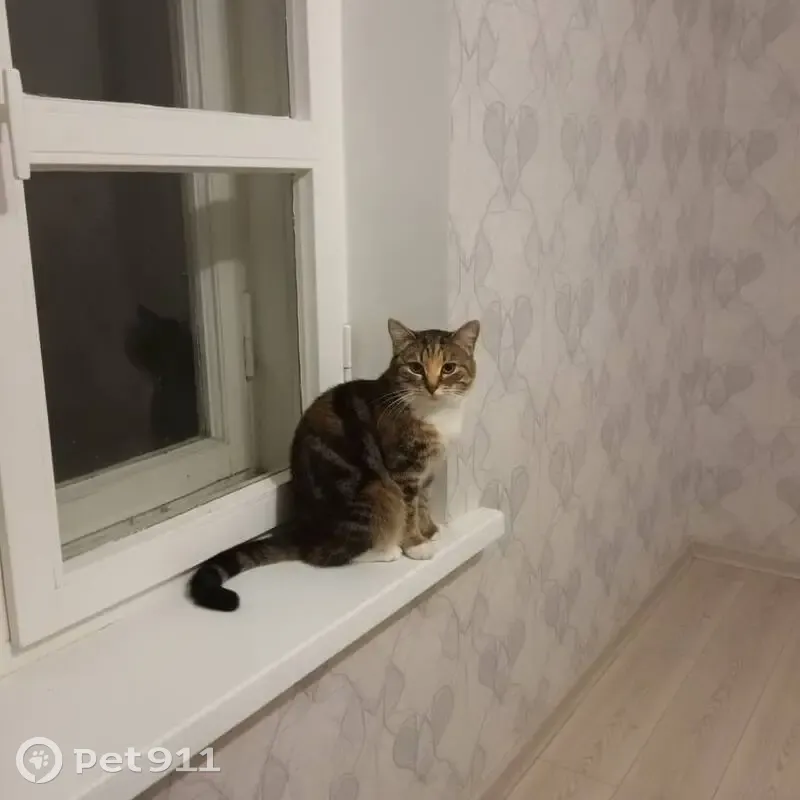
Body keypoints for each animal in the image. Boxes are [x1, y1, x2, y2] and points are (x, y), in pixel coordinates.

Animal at [188, 317, 480, 611]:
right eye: (416, 368)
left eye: (449, 367)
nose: (432, 386)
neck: (435, 414)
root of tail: (305, 532)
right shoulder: (403, 470)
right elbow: (410, 508)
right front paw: (416, 544)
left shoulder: (428, 471)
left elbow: (423, 502)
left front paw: (430, 530)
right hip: (374, 490)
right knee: (324, 555)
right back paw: (386, 550)